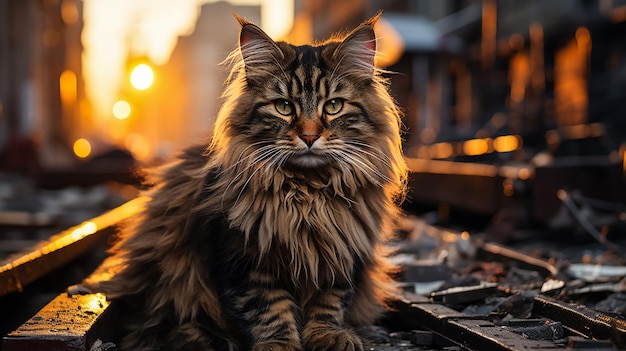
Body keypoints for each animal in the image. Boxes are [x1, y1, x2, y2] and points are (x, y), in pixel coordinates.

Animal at [78, 11, 408, 351]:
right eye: (283, 107)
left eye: (333, 106)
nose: (309, 136)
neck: (306, 195)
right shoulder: (243, 260)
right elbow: (268, 308)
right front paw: (279, 344)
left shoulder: (341, 253)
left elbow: (329, 303)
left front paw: (328, 335)